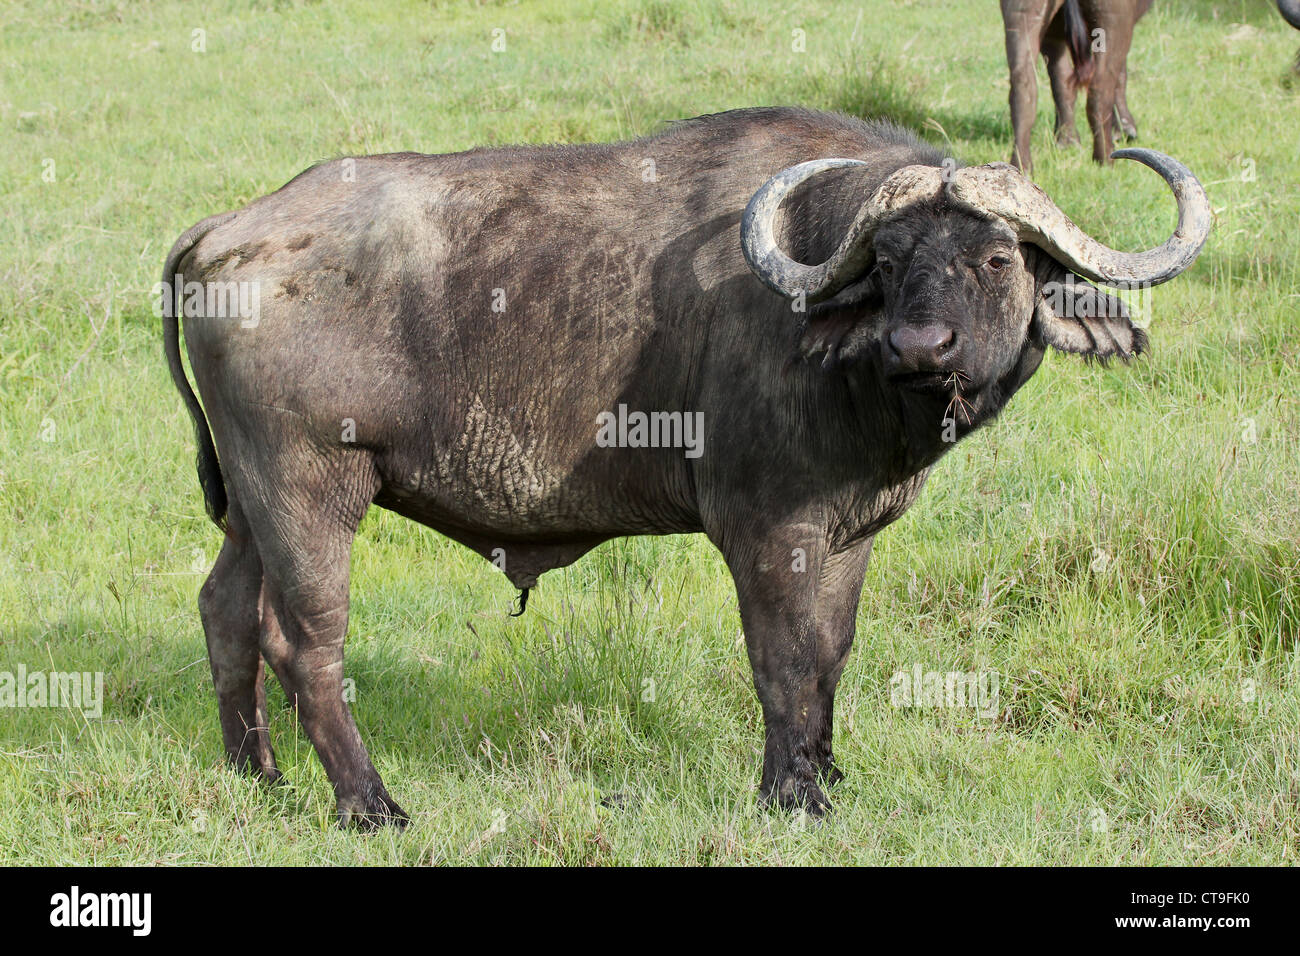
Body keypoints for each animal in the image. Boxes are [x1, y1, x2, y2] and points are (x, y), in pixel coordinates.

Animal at [162, 104, 1206, 827]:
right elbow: (783, 659)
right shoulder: (767, 531)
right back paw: (369, 803)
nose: (920, 344)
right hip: (309, 491)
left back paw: (256, 772)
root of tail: (226, 230)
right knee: (309, 643)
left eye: (997, 257)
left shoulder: (849, 533)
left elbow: (832, 654)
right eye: (889, 259)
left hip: (251, 504)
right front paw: (792, 794)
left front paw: (829, 770)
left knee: (229, 611)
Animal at [998, 0, 1154, 174]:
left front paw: (1065, 140)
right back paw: (1105, 158)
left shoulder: (1054, 33)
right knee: (1099, 89)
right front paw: (1125, 129)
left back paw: (1025, 163)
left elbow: (1061, 83)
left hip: (1022, 13)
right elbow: (1121, 76)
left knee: (1024, 84)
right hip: (1114, 20)